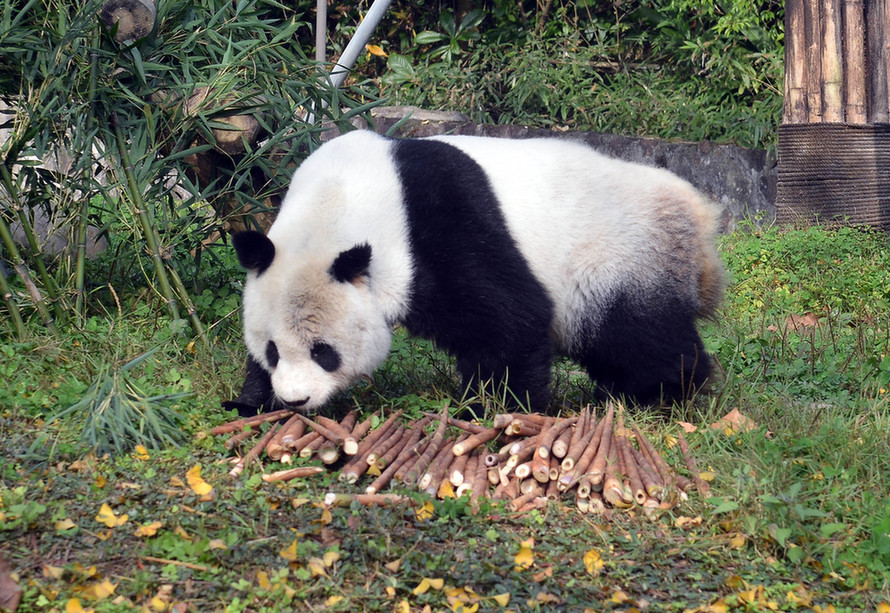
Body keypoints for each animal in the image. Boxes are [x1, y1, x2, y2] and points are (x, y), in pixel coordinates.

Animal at [227, 131, 720, 414]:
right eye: (273, 350)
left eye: (324, 352)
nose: (296, 399)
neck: (339, 199)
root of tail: (698, 215)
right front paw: (250, 402)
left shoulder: (438, 227)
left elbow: (511, 316)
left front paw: (494, 411)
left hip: (616, 257)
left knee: (633, 332)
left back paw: (655, 392)